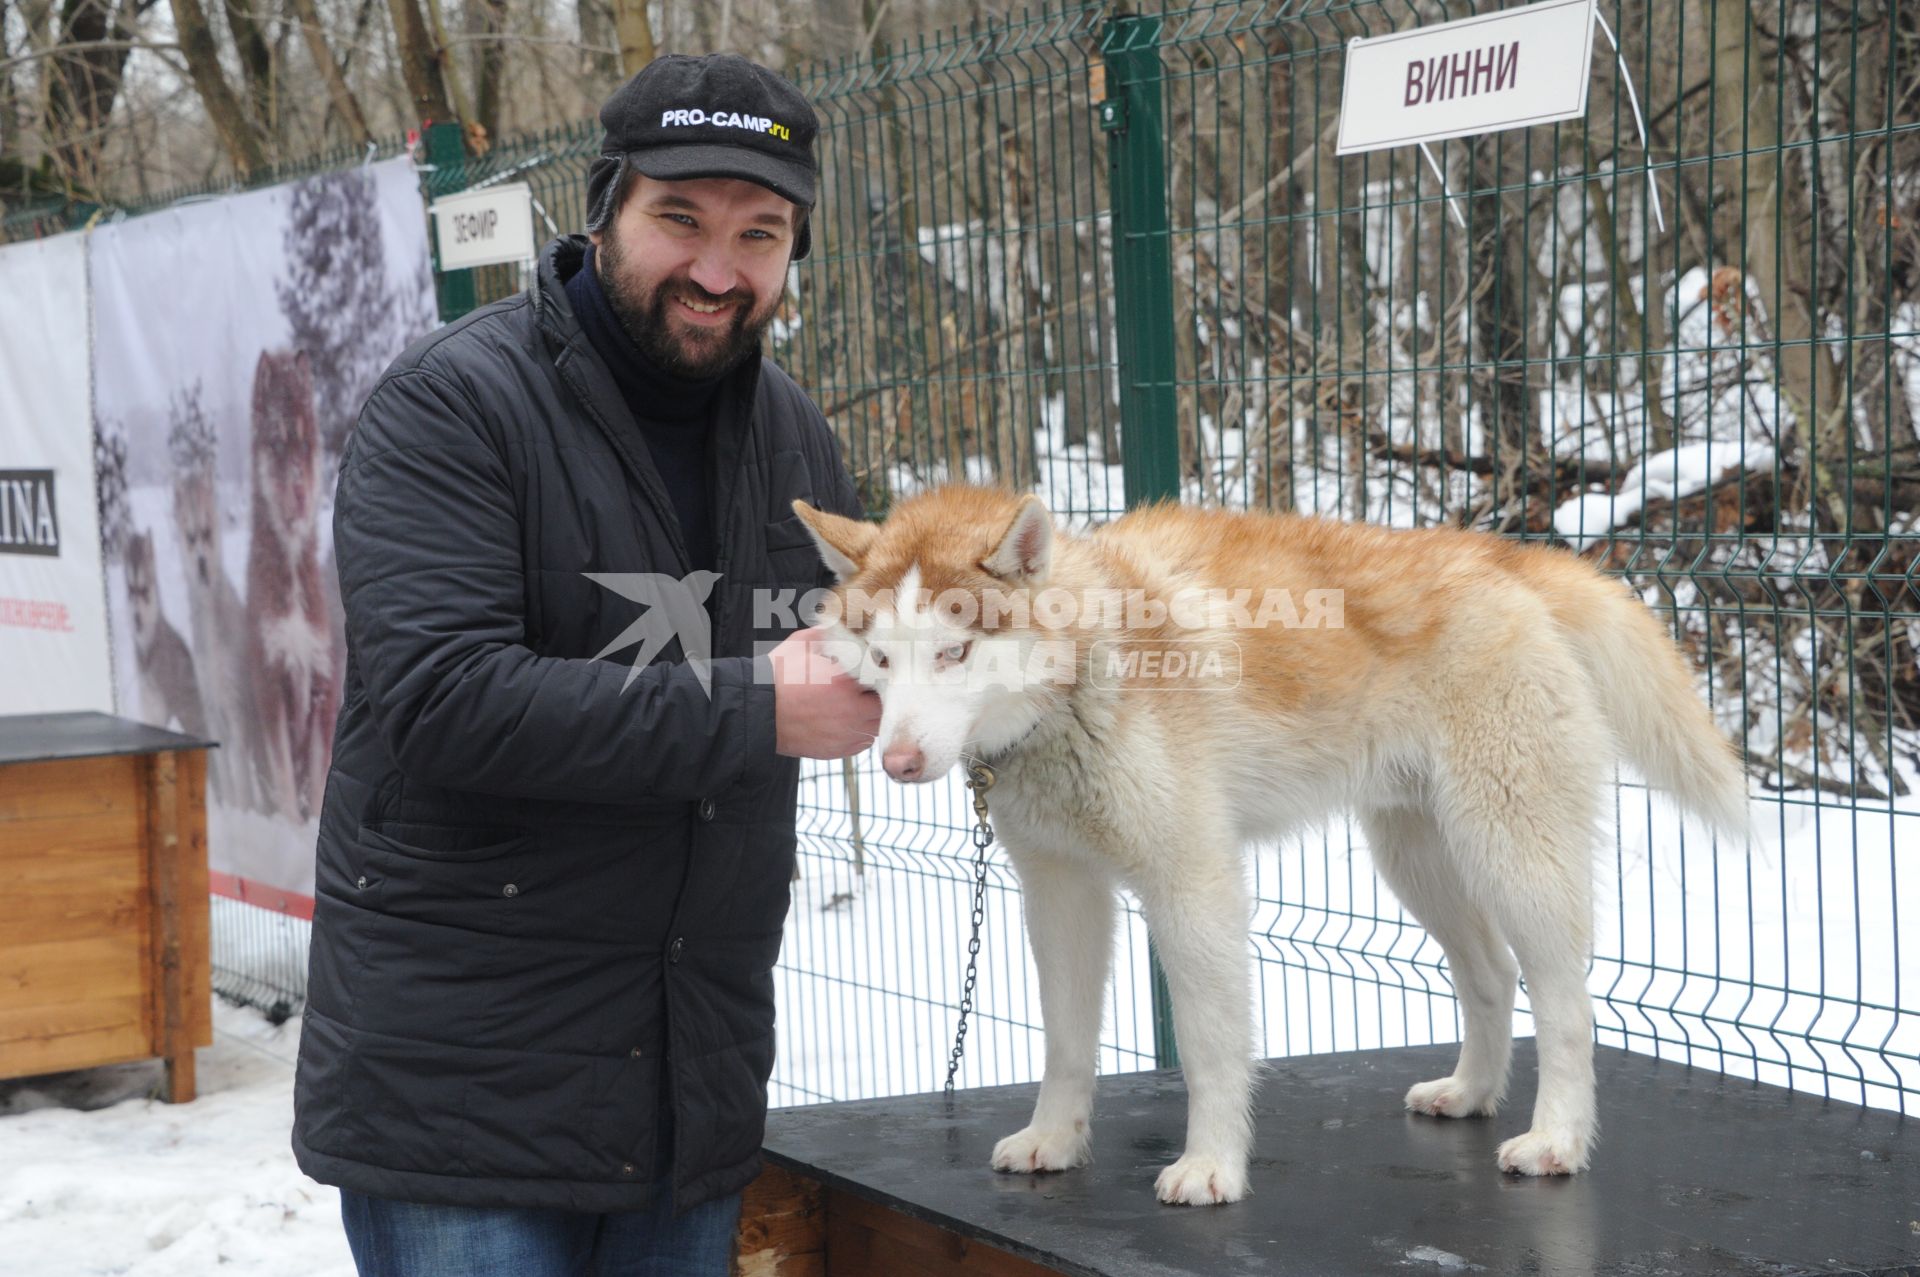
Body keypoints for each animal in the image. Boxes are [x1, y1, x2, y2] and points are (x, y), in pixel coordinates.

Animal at [787, 485, 1751, 1205]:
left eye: (954, 651)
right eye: (881, 659)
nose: (899, 761)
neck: (1092, 666)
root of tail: (1502, 557)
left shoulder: (1193, 885)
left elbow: (1212, 1050)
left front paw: (1212, 1167)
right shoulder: (1060, 892)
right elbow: (1066, 1042)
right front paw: (1054, 1140)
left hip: (1513, 856)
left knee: (1567, 1004)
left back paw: (1554, 1140)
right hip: (1419, 862)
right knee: (1489, 976)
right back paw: (1469, 1095)